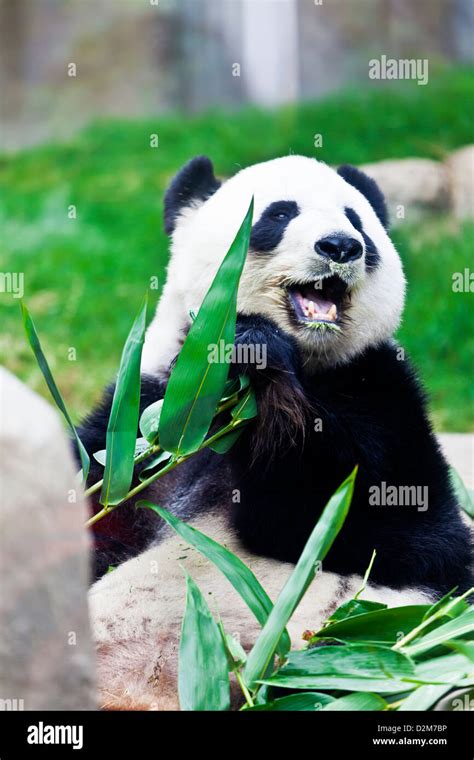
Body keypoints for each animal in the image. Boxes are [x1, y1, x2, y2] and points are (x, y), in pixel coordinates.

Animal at [79, 156, 472, 712]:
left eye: (356, 219)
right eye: (280, 214)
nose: (341, 246)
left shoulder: (385, 394)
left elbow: (405, 535)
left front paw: (261, 361)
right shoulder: (138, 419)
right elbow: (97, 514)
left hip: (354, 649)